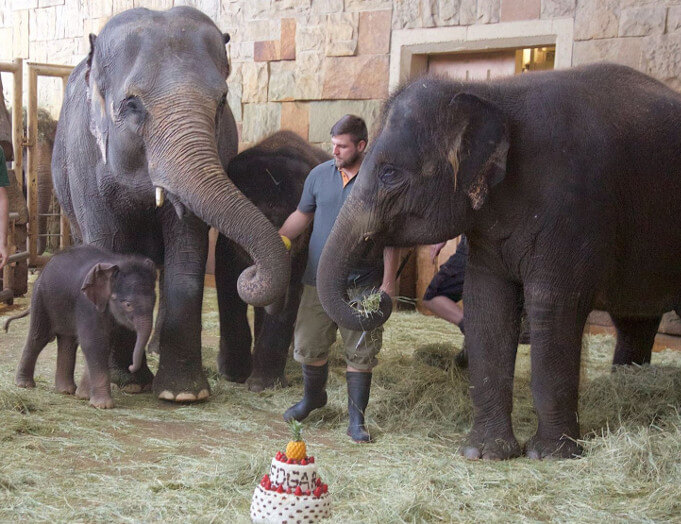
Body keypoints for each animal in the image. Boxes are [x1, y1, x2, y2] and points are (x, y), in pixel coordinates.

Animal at [51, 7, 290, 402]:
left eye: (222, 102)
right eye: (132, 105)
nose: (251, 272)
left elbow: (188, 251)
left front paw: (183, 395)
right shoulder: (85, 158)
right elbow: (109, 249)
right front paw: (126, 382)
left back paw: (154, 349)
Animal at [214, 132, 328, 392]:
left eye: (297, 229)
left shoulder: (306, 246)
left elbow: (292, 292)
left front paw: (261, 385)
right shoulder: (224, 243)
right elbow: (226, 283)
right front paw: (233, 375)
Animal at [316, 63, 680, 460]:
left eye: (389, 173)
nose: (378, 297)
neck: (492, 94)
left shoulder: (574, 209)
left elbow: (553, 306)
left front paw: (549, 455)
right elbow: (487, 303)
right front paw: (485, 453)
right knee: (635, 322)